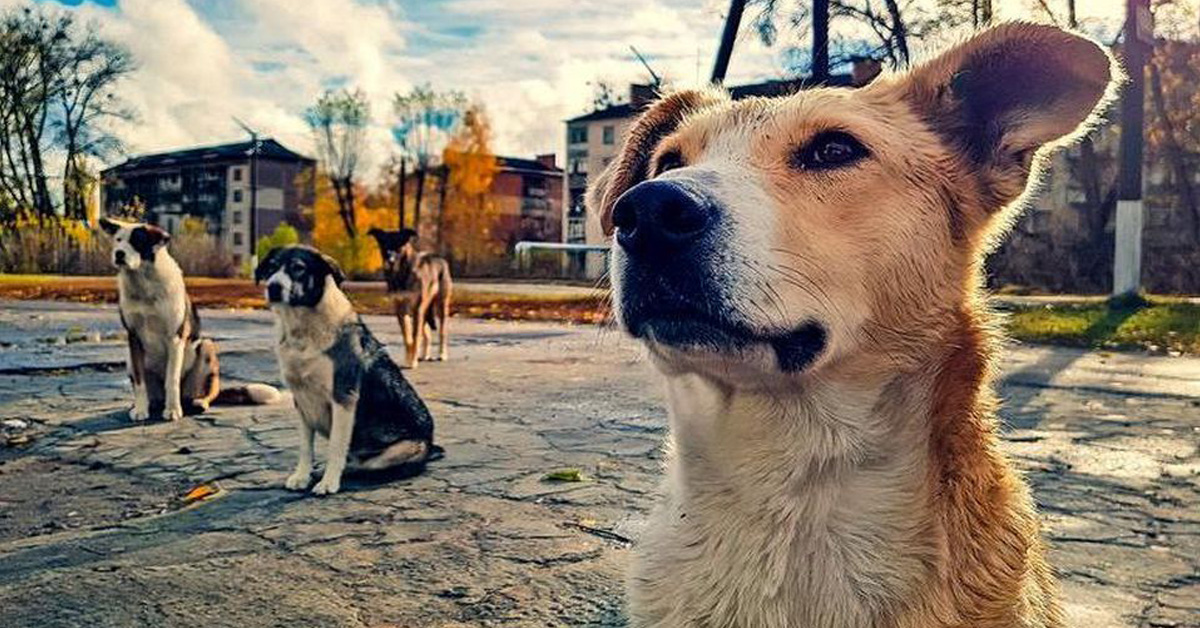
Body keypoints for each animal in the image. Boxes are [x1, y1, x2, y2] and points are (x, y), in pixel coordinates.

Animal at [255, 246, 444, 497]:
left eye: (298, 268)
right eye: (271, 267)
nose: (273, 287)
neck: (304, 329)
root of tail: (430, 445)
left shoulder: (343, 396)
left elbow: (336, 447)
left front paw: (328, 482)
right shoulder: (301, 400)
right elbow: (305, 447)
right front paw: (302, 476)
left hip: (401, 450)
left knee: (364, 466)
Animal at [369, 229, 451, 369]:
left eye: (399, 245)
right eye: (384, 244)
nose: (389, 259)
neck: (401, 273)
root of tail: (440, 258)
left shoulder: (417, 308)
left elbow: (415, 336)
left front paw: (412, 362)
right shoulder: (401, 309)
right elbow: (407, 337)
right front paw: (409, 359)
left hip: (440, 305)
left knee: (442, 332)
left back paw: (442, 354)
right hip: (423, 310)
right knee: (427, 332)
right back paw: (425, 355)